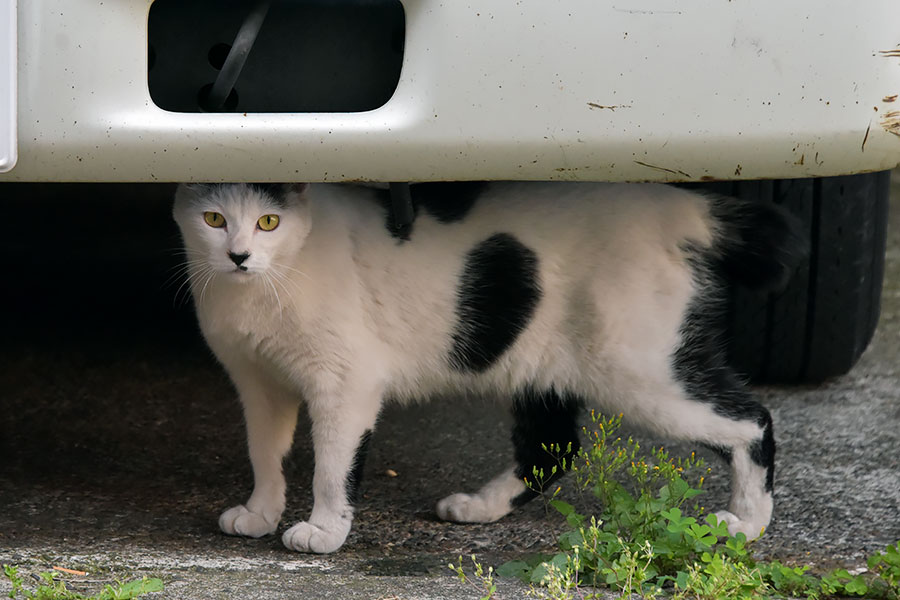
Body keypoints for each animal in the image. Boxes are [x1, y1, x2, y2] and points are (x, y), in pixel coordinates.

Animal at [172, 182, 800, 552]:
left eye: (269, 222)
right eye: (214, 218)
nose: (238, 256)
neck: (263, 289)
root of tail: (683, 203)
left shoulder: (344, 385)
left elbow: (331, 467)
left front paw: (324, 530)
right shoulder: (258, 384)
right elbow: (264, 453)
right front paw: (261, 512)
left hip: (643, 373)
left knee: (751, 421)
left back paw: (747, 523)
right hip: (543, 367)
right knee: (552, 447)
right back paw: (479, 507)